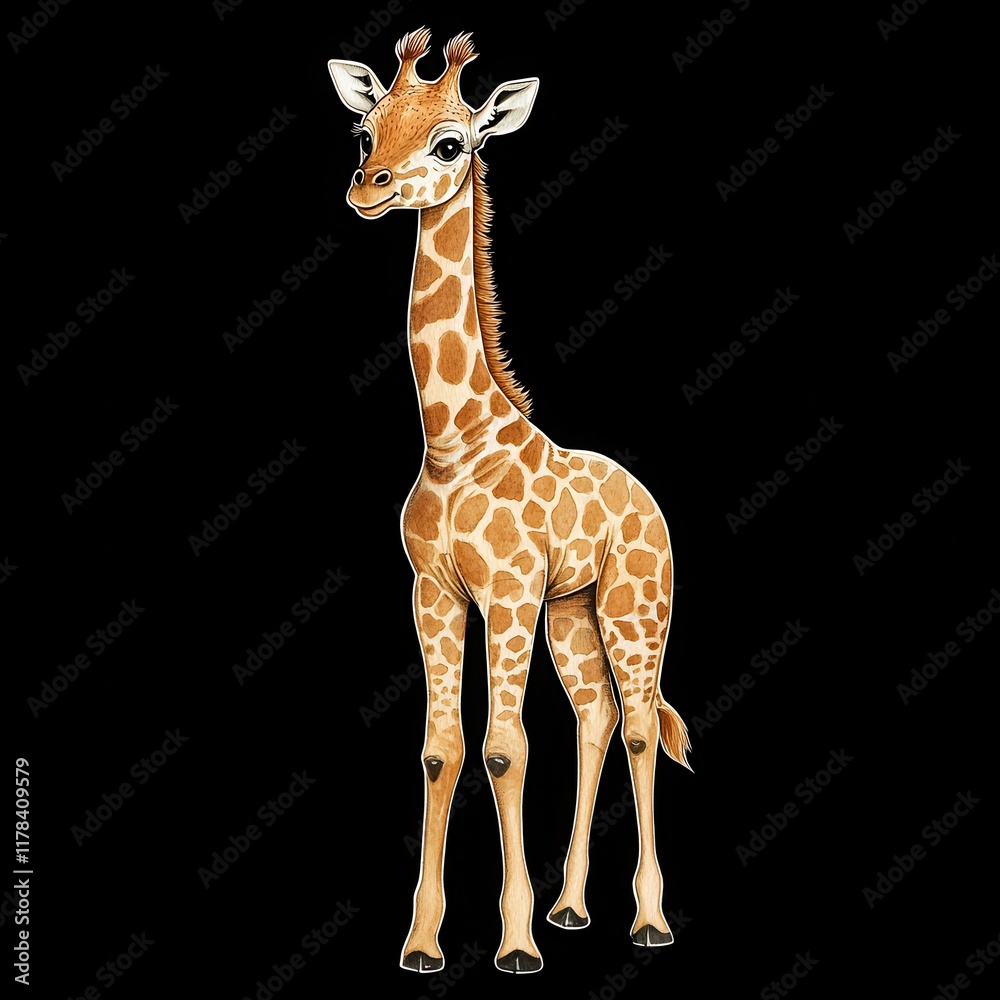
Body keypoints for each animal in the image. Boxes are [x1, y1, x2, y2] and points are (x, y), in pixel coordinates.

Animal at [329, 28, 692, 974]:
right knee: (596, 718)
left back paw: (647, 922)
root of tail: (650, 501)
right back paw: (573, 909)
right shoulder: (435, 593)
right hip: (573, 612)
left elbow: (502, 749)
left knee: (640, 726)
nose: (367, 187)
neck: (458, 443)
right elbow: (441, 750)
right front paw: (425, 942)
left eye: (452, 144)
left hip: (634, 607)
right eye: (364, 131)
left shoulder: (509, 594)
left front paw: (515, 943)